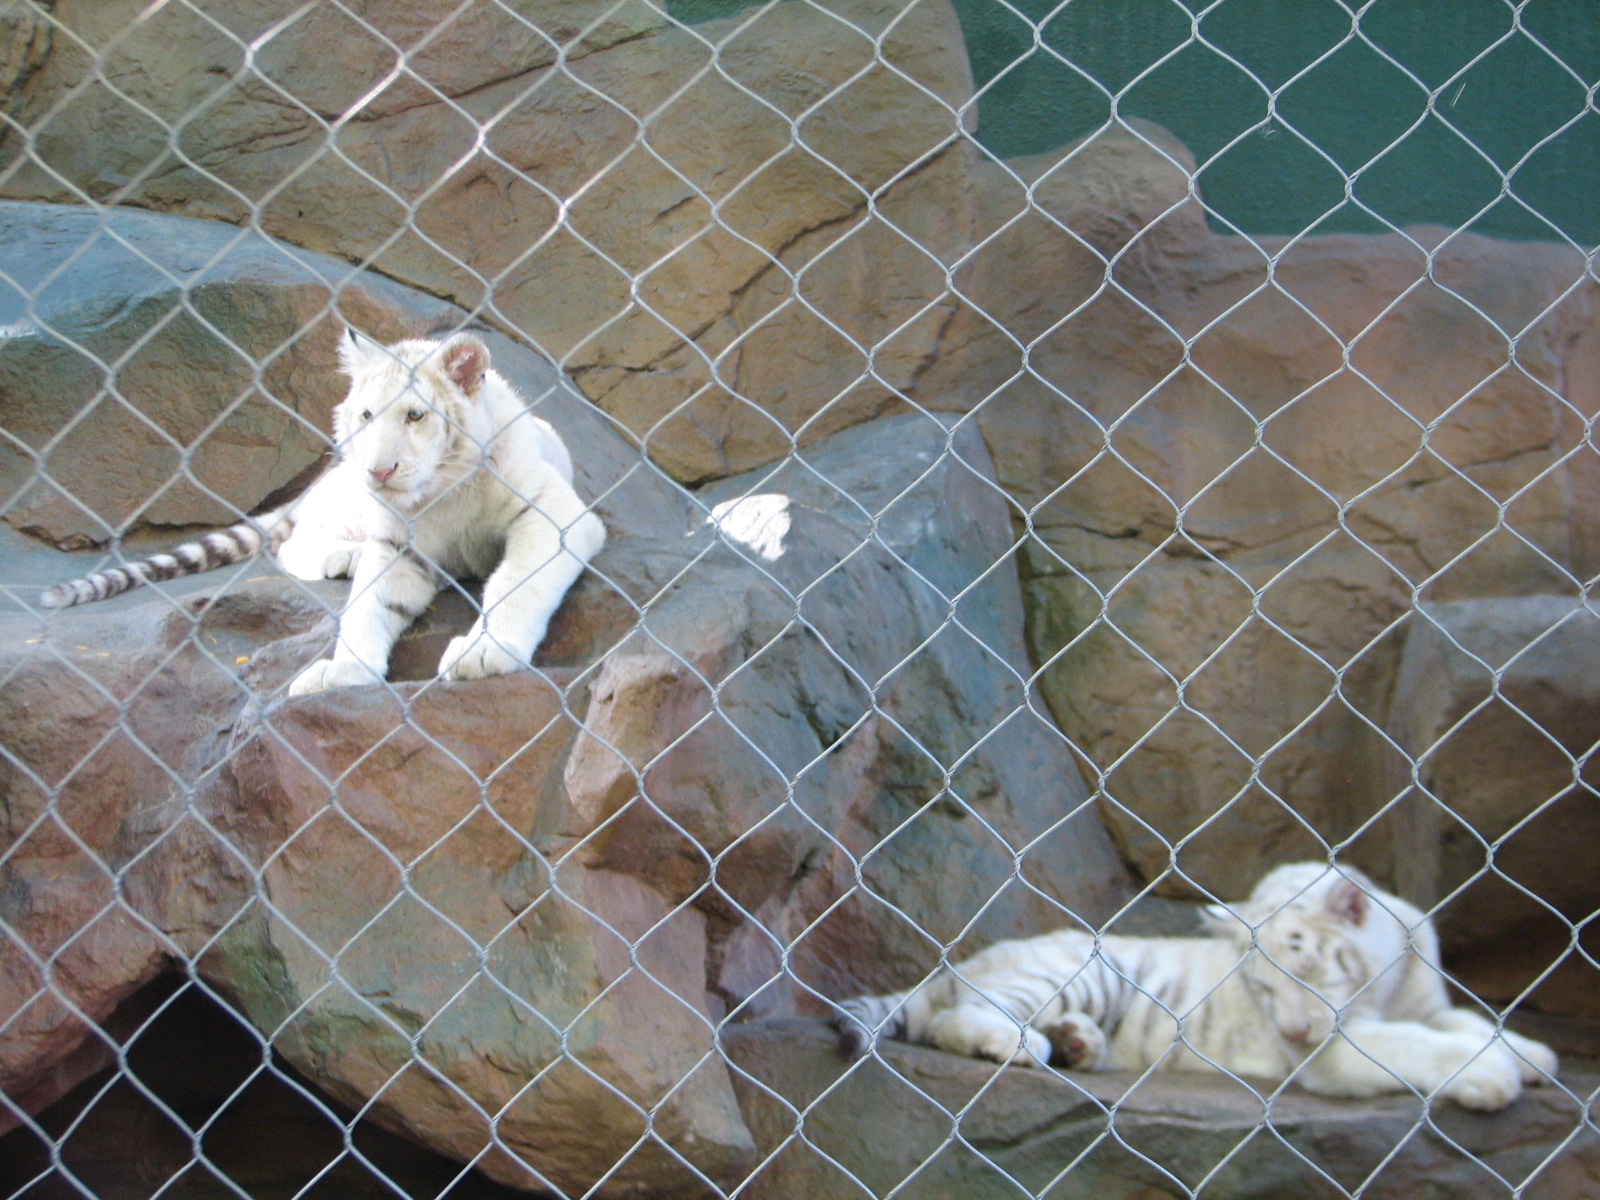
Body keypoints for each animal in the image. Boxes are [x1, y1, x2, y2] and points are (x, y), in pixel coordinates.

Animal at [40, 327, 606, 695]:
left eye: (415, 415)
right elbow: (366, 607)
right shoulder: (395, 544)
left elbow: (517, 582)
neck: (443, 491)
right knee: (292, 543)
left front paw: (484, 654)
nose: (379, 471)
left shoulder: (553, 515)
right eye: (367, 414)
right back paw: (342, 558)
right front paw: (344, 671)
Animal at [833, 862, 1557, 1111]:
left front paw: (1532, 1055)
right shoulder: (1331, 1053)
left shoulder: (1424, 1001)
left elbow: (1464, 1023)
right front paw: (1492, 1076)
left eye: (1306, 971)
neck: (1382, 985)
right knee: (952, 1020)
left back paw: (1078, 1045)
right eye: (1264, 991)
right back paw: (1021, 1045)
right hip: (1076, 971)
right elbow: (1415, 1046)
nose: (1295, 1029)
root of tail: (955, 965)